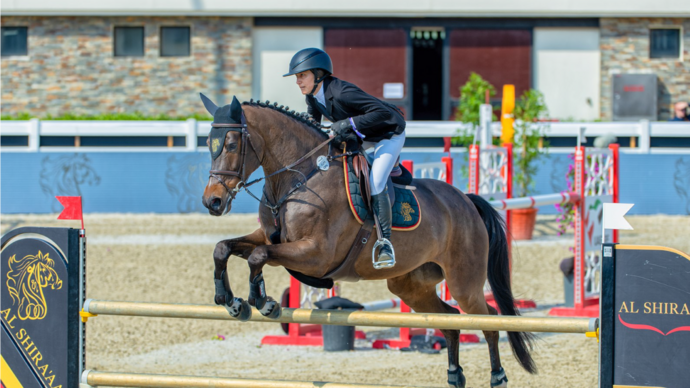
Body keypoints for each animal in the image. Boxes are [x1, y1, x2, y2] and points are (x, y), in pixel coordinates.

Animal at [199, 97, 532, 388]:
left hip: (464, 283)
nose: (212, 201)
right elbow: (225, 248)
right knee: (450, 319)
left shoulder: (316, 255)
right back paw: (454, 375)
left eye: (231, 144)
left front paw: (262, 301)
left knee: (488, 321)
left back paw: (498, 376)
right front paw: (230, 301)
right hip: (410, 286)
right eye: (208, 144)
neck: (301, 177)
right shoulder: (271, 238)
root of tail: (467, 201)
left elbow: (259, 255)